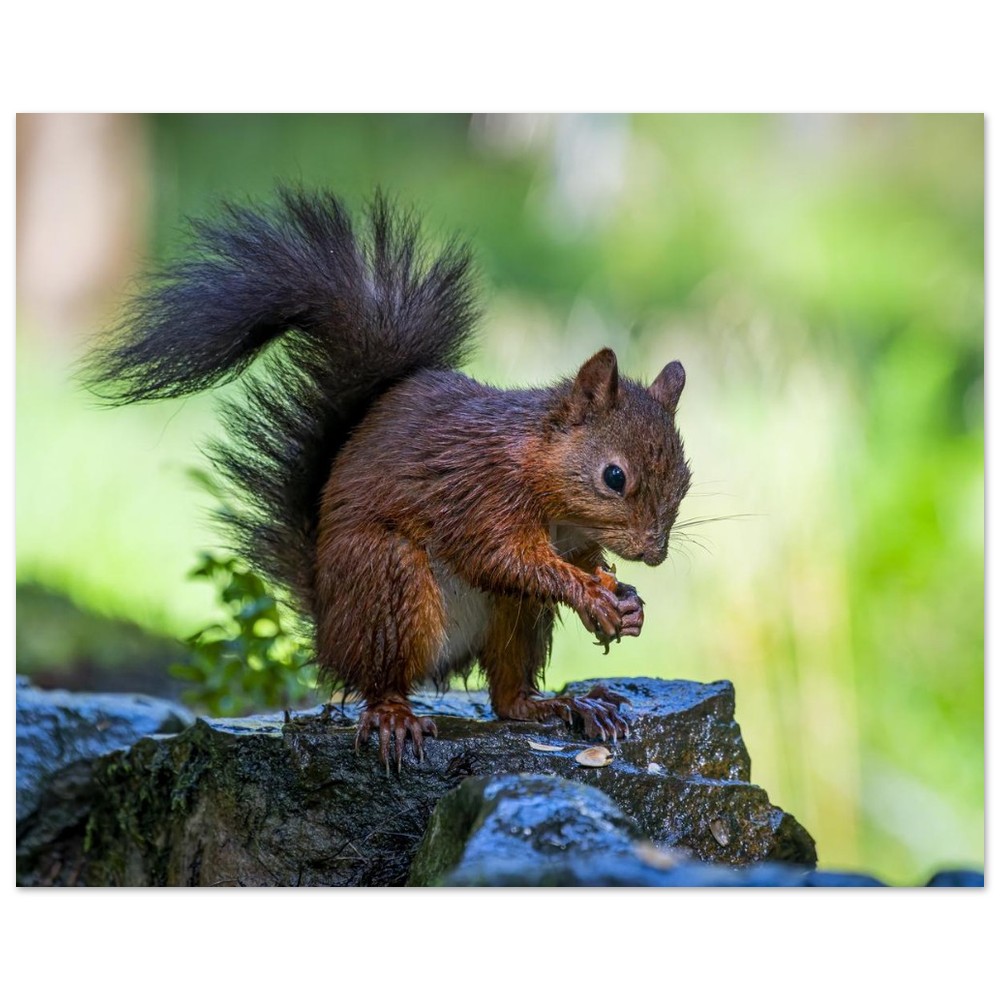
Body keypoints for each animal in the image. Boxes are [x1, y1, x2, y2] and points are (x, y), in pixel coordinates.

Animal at [84, 188, 691, 771]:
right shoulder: (479, 494)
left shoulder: (571, 536)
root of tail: (328, 629)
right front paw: (591, 594)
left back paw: (563, 704)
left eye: (685, 480)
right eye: (614, 476)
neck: (546, 482)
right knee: (381, 679)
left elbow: (577, 561)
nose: (655, 553)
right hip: (386, 583)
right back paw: (395, 716)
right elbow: (503, 558)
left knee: (507, 696)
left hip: (514, 617)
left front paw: (625, 600)